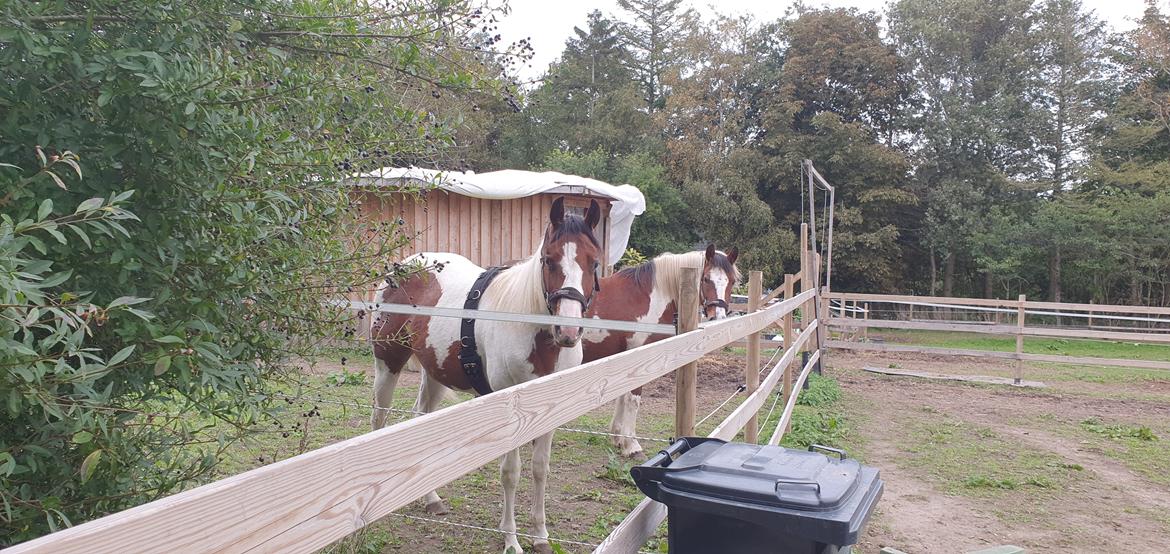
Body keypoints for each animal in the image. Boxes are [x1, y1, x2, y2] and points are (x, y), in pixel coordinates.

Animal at [585, 244, 739, 455]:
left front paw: (617, 437)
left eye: (732, 281)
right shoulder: (638, 361)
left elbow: (622, 398)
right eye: (706, 278)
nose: (719, 316)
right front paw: (631, 445)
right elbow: (632, 400)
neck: (649, 296)